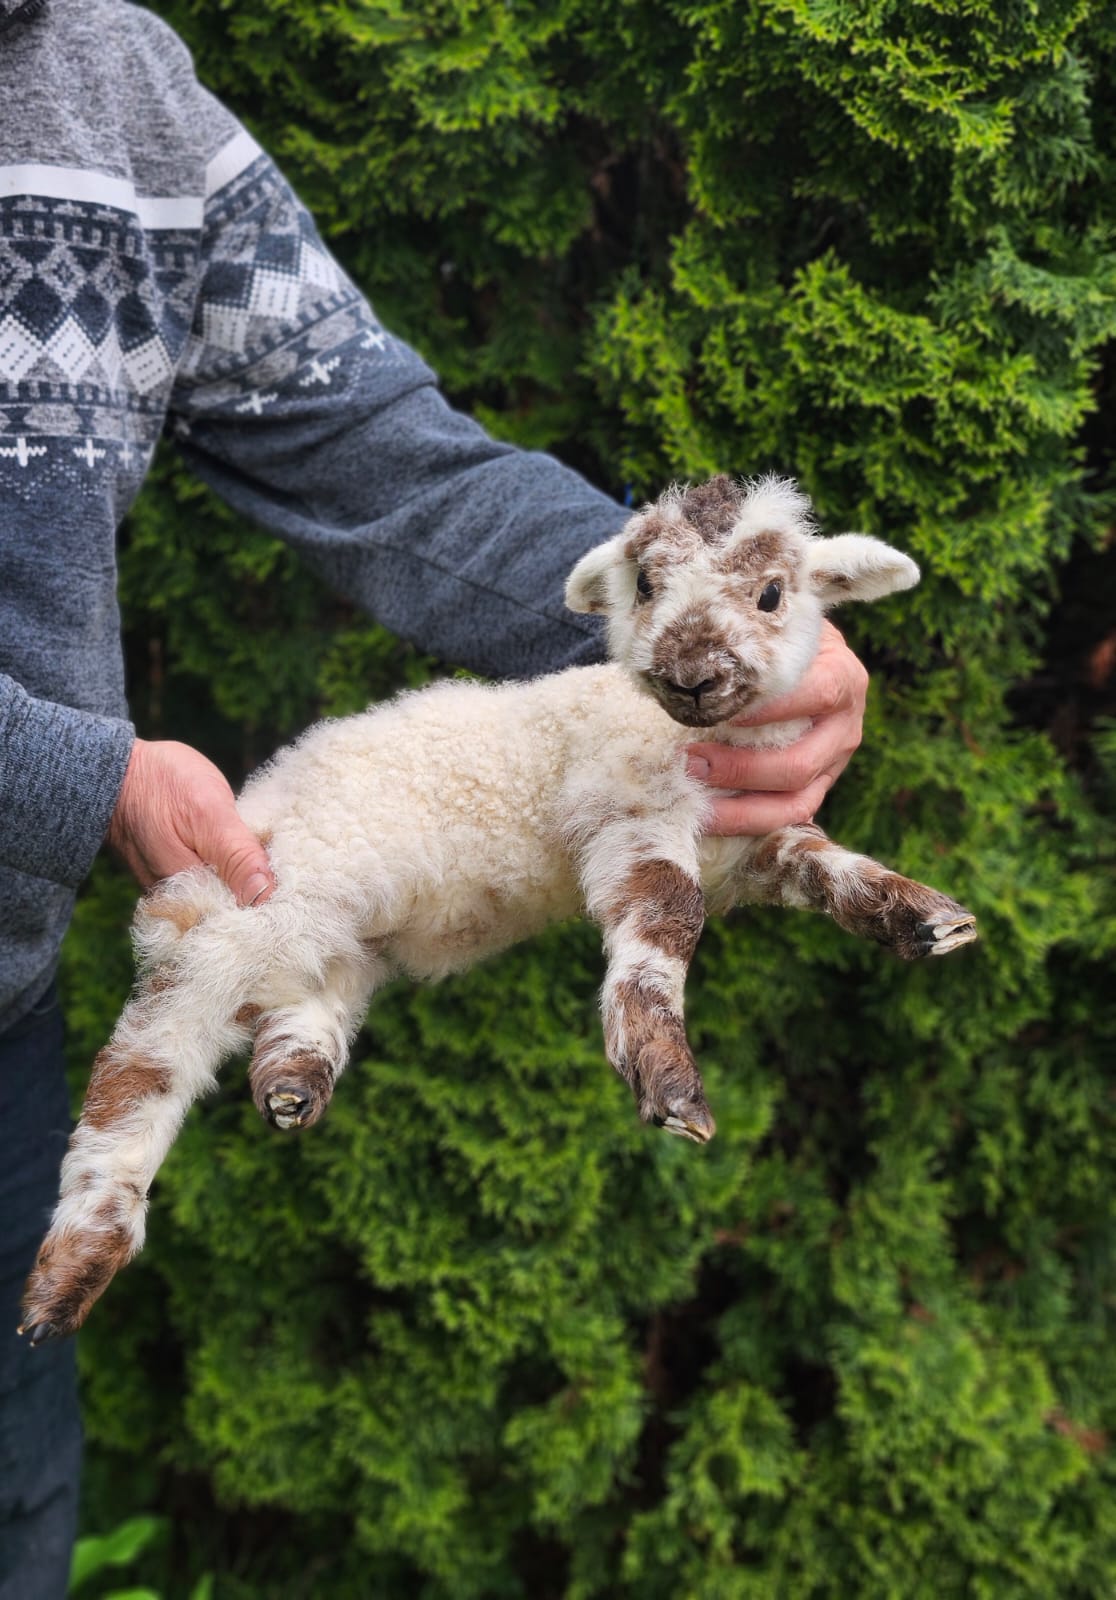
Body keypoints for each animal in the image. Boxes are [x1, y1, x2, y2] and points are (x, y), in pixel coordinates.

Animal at [20, 474, 977, 1344]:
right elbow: (668, 916)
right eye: (645, 586)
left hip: (332, 927)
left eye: (772, 593)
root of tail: (262, 798)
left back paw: (293, 1082)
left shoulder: (751, 841)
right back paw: (73, 1267)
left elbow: (825, 865)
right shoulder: (626, 808)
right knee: (147, 1057)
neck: (702, 750)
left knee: (310, 994)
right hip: (256, 901)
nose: (692, 675)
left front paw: (925, 917)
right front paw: (665, 1073)